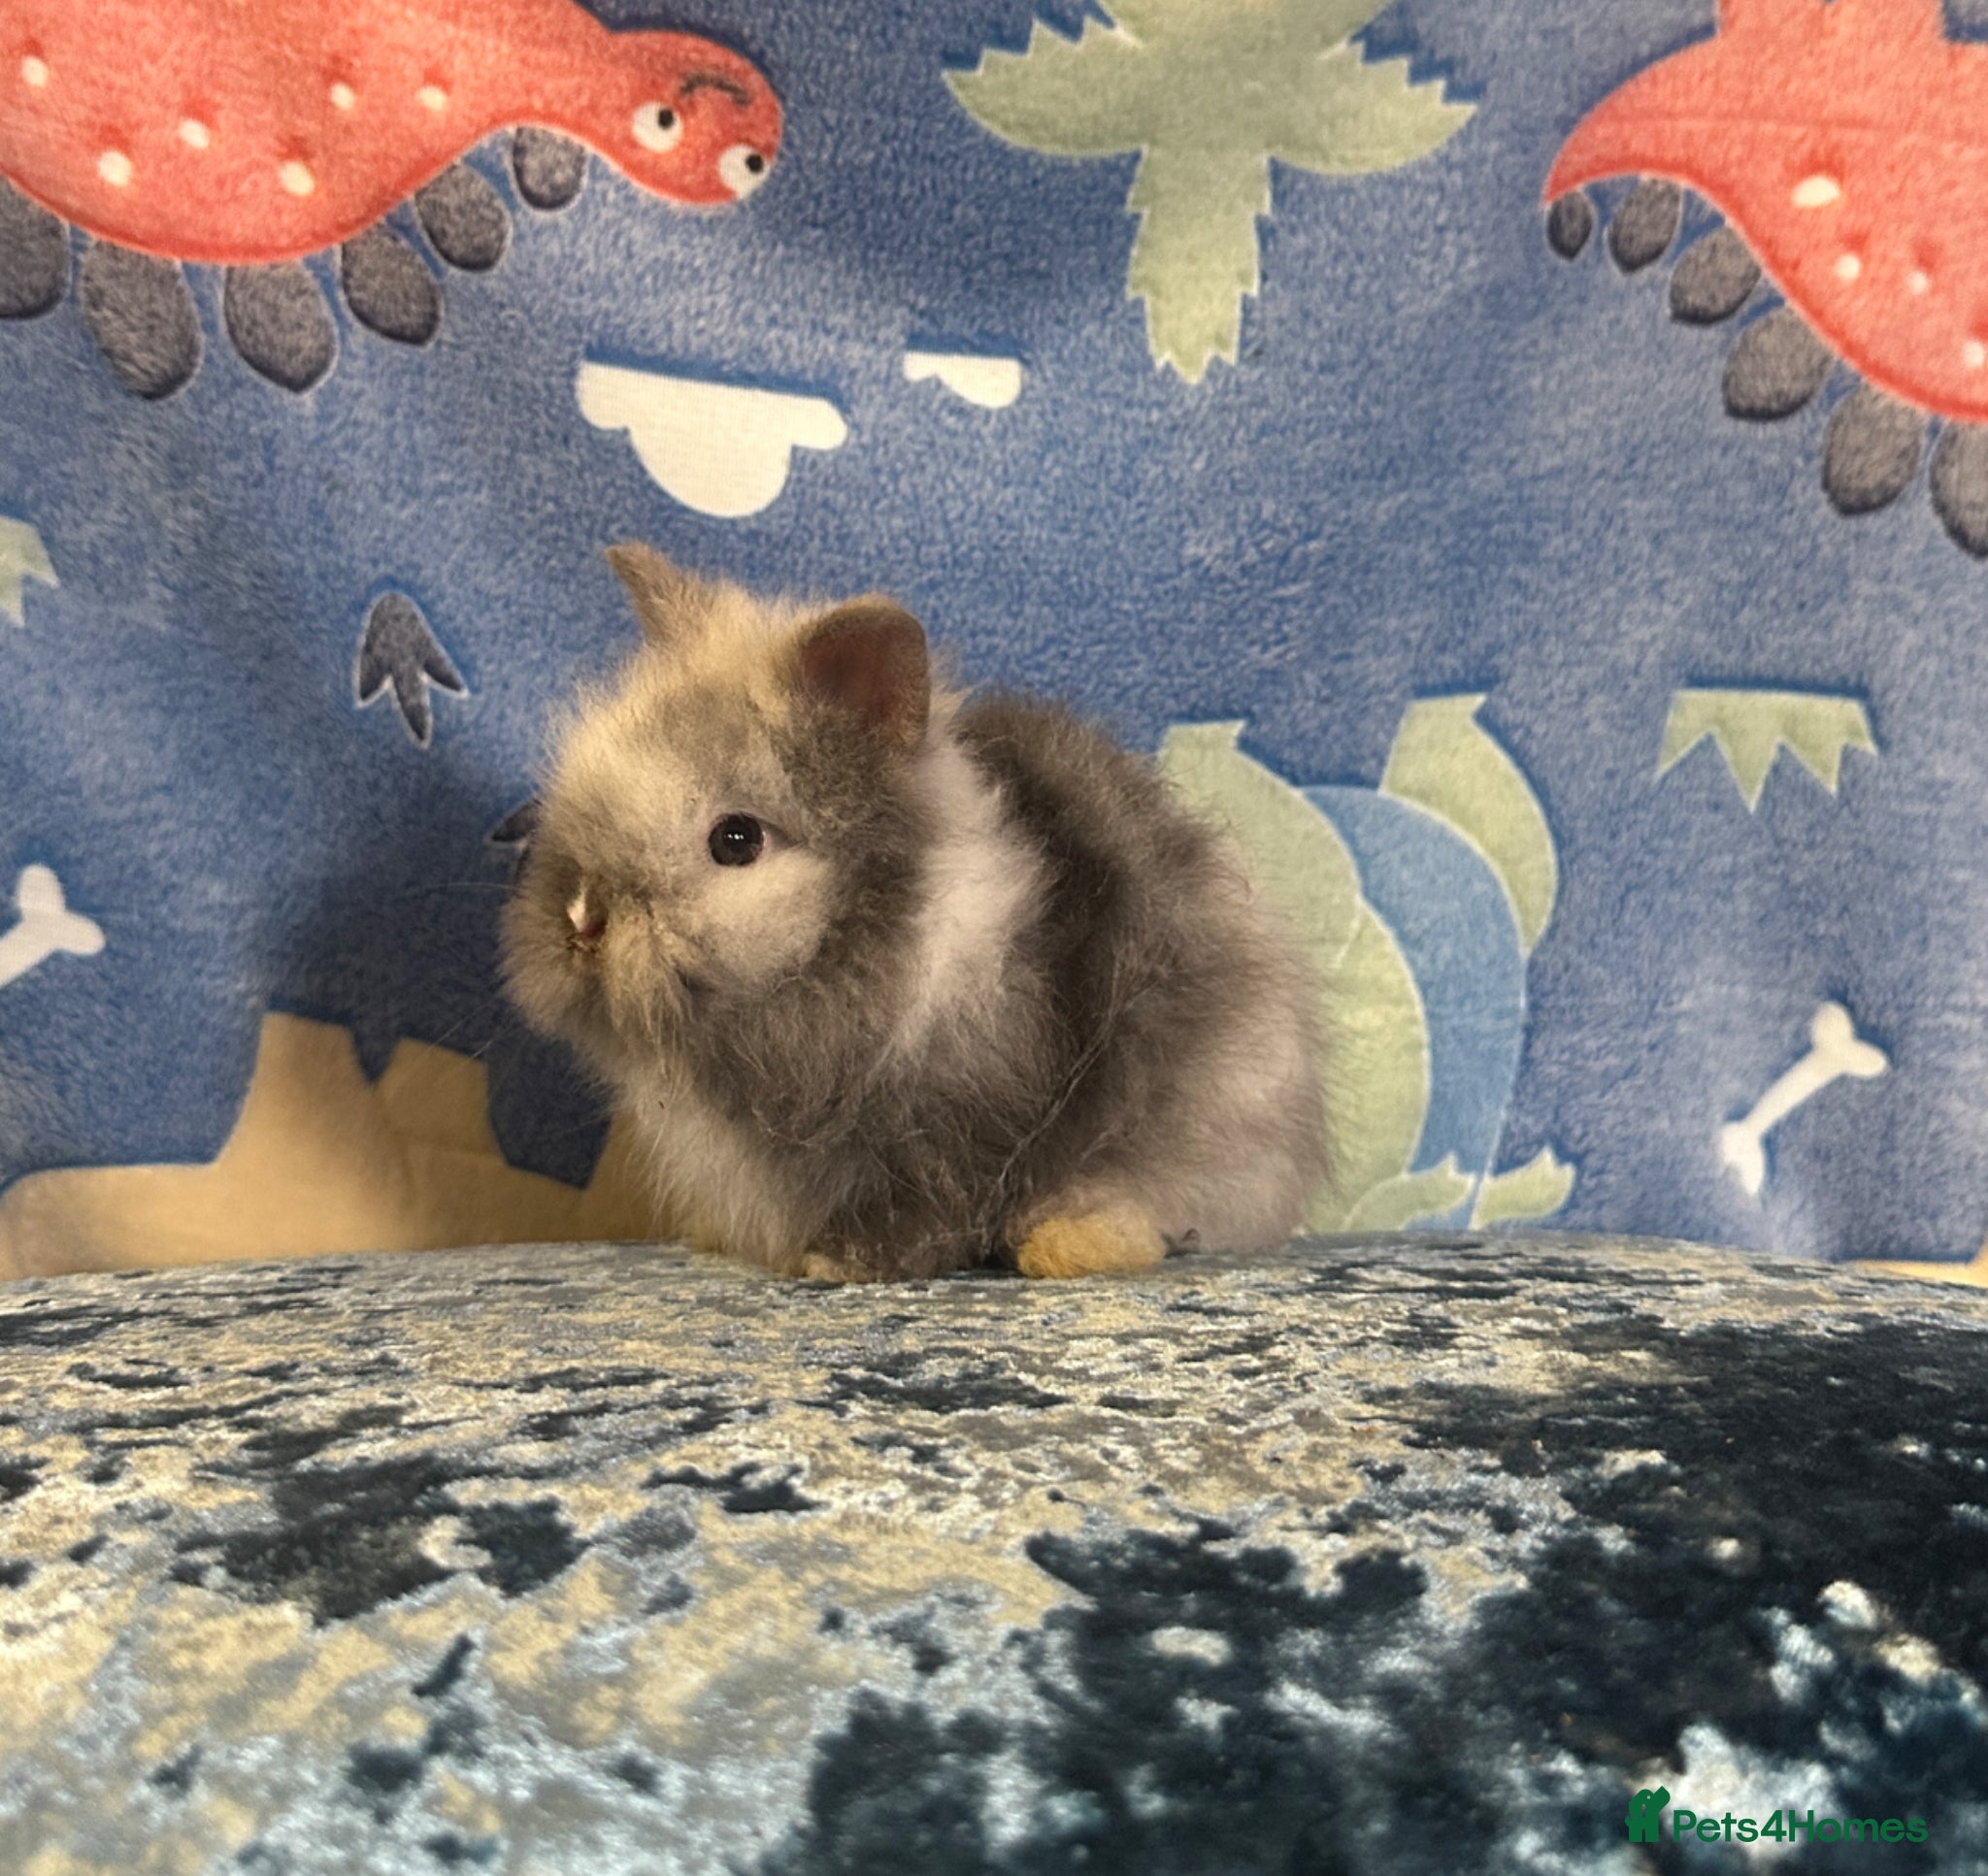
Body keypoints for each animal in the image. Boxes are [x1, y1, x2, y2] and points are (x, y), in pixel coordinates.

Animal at [500, 544, 1327, 1281]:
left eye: (736, 840)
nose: (581, 920)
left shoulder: (962, 1118)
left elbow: (926, 1199)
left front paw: (839, 1262)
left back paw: (1068, 1244)